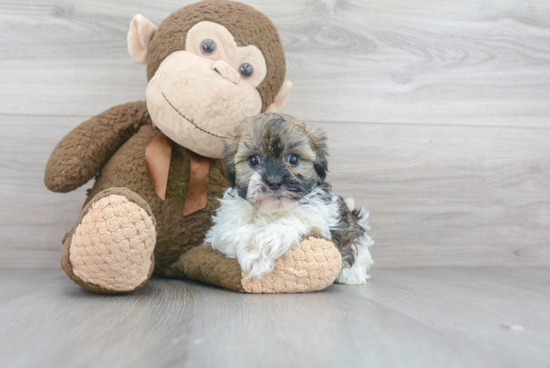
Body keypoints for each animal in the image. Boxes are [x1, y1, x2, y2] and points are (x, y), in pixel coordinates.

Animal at [205, 112, 378, 284]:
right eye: (254, 160)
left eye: (293, 159)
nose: (274, 182)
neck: (272, 210)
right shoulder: (222, 229)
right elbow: (236, 232)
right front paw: (255, 256)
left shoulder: (319, 213)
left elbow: (295, 218)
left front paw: (266, 244)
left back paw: (351, 274)